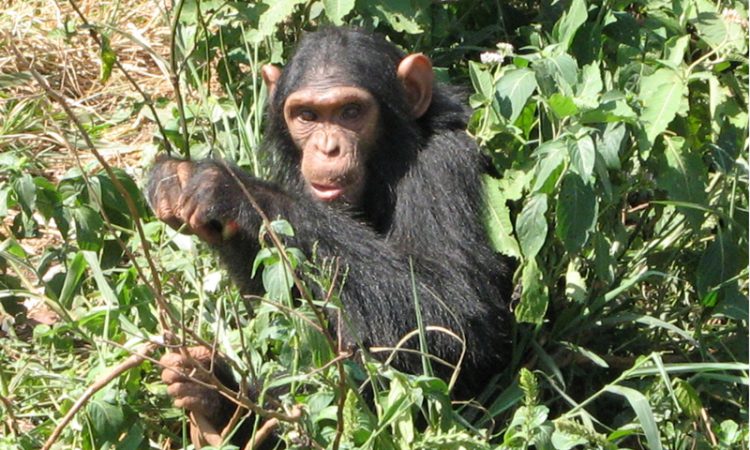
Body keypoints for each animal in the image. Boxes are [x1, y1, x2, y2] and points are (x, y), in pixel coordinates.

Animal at [150, 27, 516, 446]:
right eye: (307, 115)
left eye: (351, 112)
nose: (328, 147)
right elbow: (277, 306)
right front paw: (175, 182)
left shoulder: (444, 166)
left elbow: (454, 315)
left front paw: (230, 189)